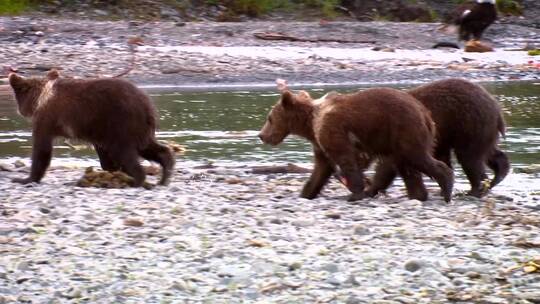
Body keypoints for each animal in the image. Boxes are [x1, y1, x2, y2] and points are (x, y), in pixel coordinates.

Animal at [8, 70, 174, 186]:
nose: (19, 111)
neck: (41, 99)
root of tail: (147, 105)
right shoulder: (97, 129)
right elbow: (103, 153)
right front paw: (111, 169)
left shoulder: (47, 119)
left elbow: (41, 149)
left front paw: (25, 178)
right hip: (137, 127)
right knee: (147, 147)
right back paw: (165, 173)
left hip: (122, 122)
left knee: (124, 151)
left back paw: (137, 180)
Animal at [260, 87, 454, 202]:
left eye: (269, 118)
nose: (261, 135)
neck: (311, 122)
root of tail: (425, 112)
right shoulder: (319, 141)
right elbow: (321, 168)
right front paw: (306, 193)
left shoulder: (333, 128)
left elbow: (346, 159)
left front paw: (355, 193)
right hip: (397, 138)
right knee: (408, 167)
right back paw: (418, 194)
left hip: (405, 129)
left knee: (416, 157)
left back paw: (446, 186)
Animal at [370, 77, 508, 198]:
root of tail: (496, 109)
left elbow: (390, 165)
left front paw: (371, 188)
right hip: (478, 129)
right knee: (488, 152)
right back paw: (497, 176)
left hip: (469, 124)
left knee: (470, 157)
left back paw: (473, 191)